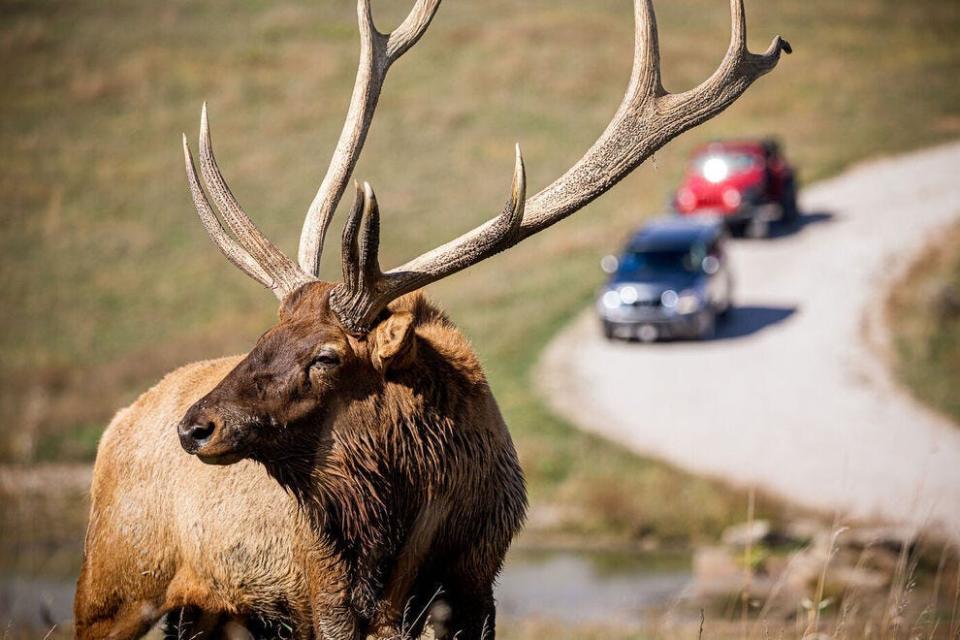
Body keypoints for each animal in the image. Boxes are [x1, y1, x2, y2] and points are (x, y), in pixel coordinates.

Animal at [75, 0, 788, 636]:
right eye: (264, 336)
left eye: (327, 356)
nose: (195, 425)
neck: (408, 525)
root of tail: (119, 421)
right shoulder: (322, 596)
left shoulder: (475, 586)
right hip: (114, 585)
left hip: (206, 613)